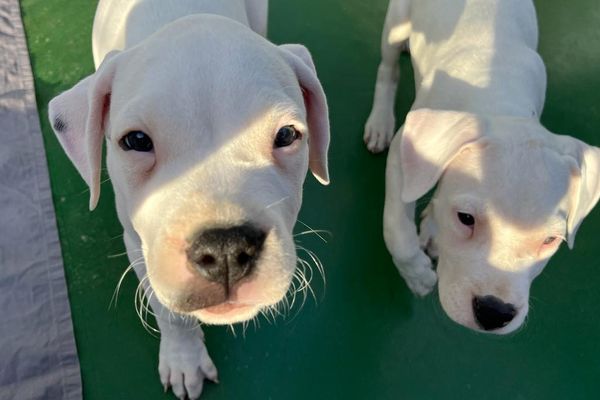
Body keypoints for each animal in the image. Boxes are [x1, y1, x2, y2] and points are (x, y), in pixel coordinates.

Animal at [48, 1, 328, 398]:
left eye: (287, 135)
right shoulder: (138, 244)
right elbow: (169, 312)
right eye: (136, 141)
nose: (226, 249)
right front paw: (184, 359)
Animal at [364, 0, 600, 334]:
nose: (494, 312)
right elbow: (396, 230)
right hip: (396, 25)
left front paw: (432, 228)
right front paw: (417, 274)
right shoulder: (402, 152)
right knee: (388, 68)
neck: (497, 96)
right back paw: (380, 120)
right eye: (466, 218)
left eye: (550, 240)